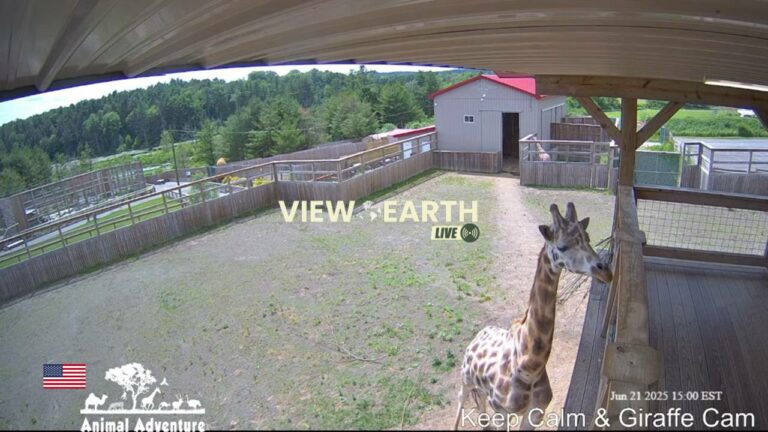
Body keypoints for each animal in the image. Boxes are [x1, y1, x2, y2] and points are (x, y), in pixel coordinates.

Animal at [453, 202, 613, 430]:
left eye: (588, 238)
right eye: (562, 246)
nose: (605, 272)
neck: (529, 366)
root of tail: (479, 334)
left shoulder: (536, 412)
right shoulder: (502, 411)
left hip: (481, 389)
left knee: (481, 407)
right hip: (466, 378)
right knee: (461, 399)